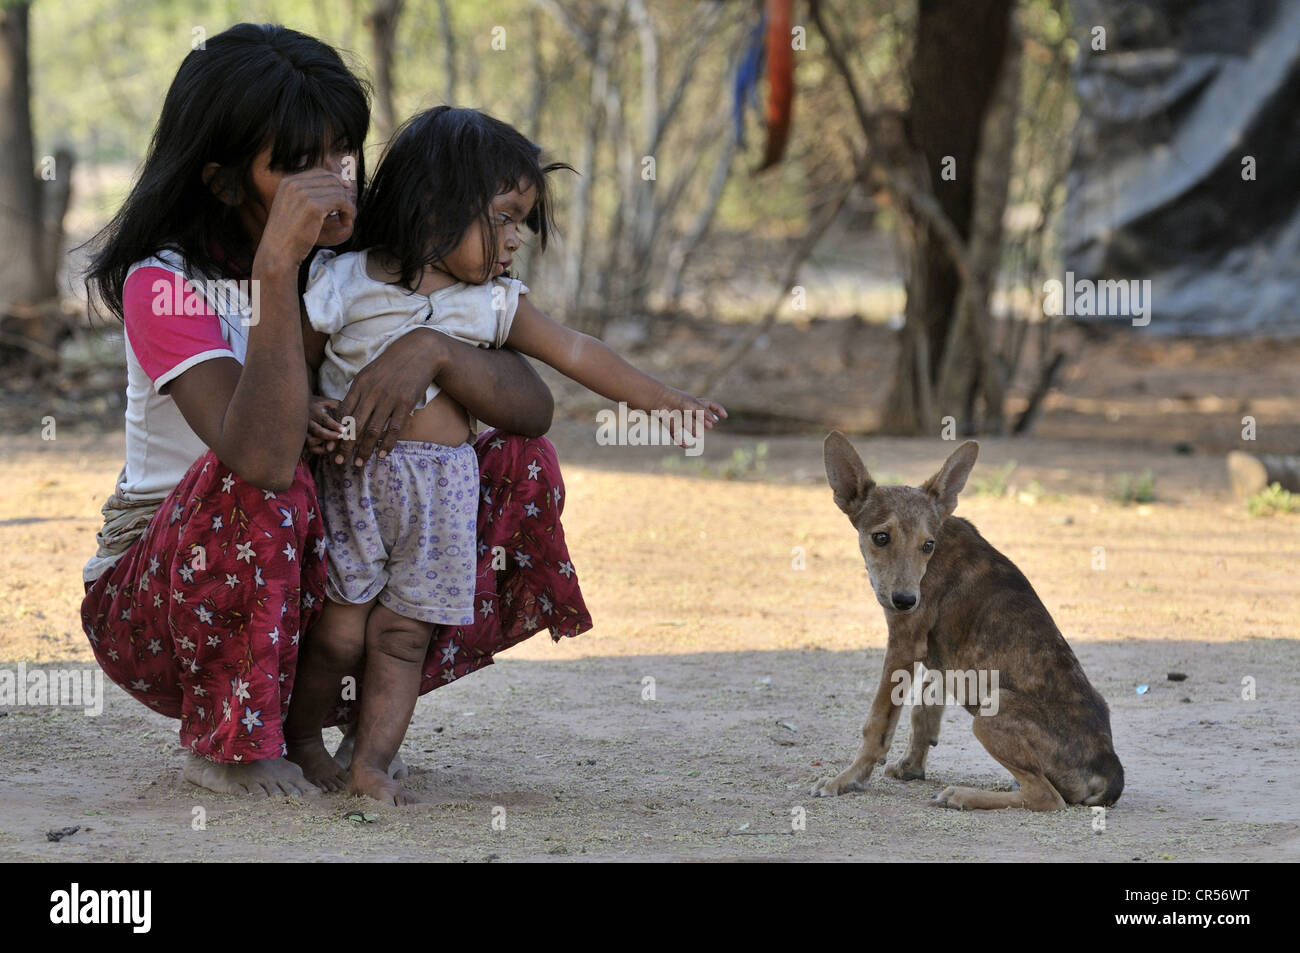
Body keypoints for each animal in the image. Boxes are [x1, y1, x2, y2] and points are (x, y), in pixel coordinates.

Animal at [816, 431, 1123, 811]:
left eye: (927, 545)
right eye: (881, 537)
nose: (906, 600)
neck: (939, 545)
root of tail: (1111, 771)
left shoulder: (903, 641)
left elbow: (877, 724)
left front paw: (845, 780)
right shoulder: (934, 656)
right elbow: (923, 710)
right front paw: (910, 767)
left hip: (992, 709)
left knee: (1046, 797)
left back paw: (959, 795)